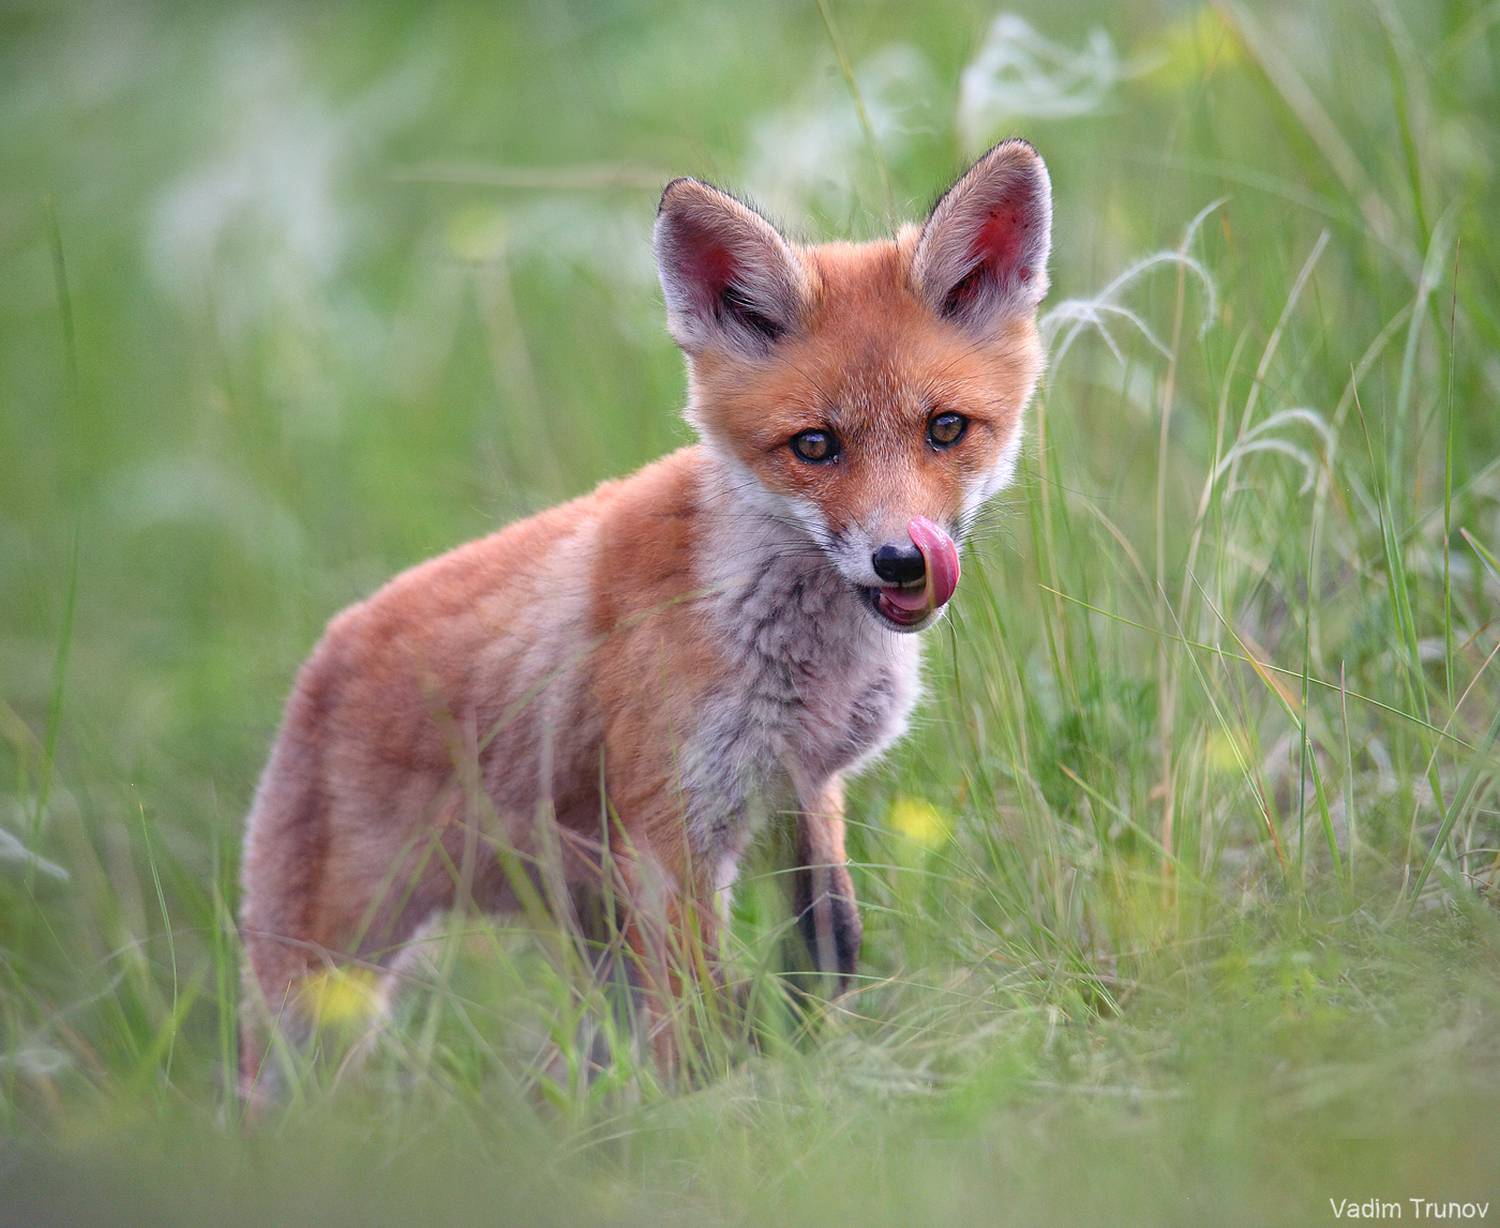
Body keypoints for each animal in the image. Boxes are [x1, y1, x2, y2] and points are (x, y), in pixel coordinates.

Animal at [237, 138, 1052, 1101]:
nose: (902, 560)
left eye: (946, 429)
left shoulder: (800, 787)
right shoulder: (673, 832)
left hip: (592, 933)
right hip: (322, 989)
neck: (792, 647)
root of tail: (323, 654)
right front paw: (731, 1115)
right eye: (815, 446)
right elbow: (700, 1021)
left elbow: (827, 949)